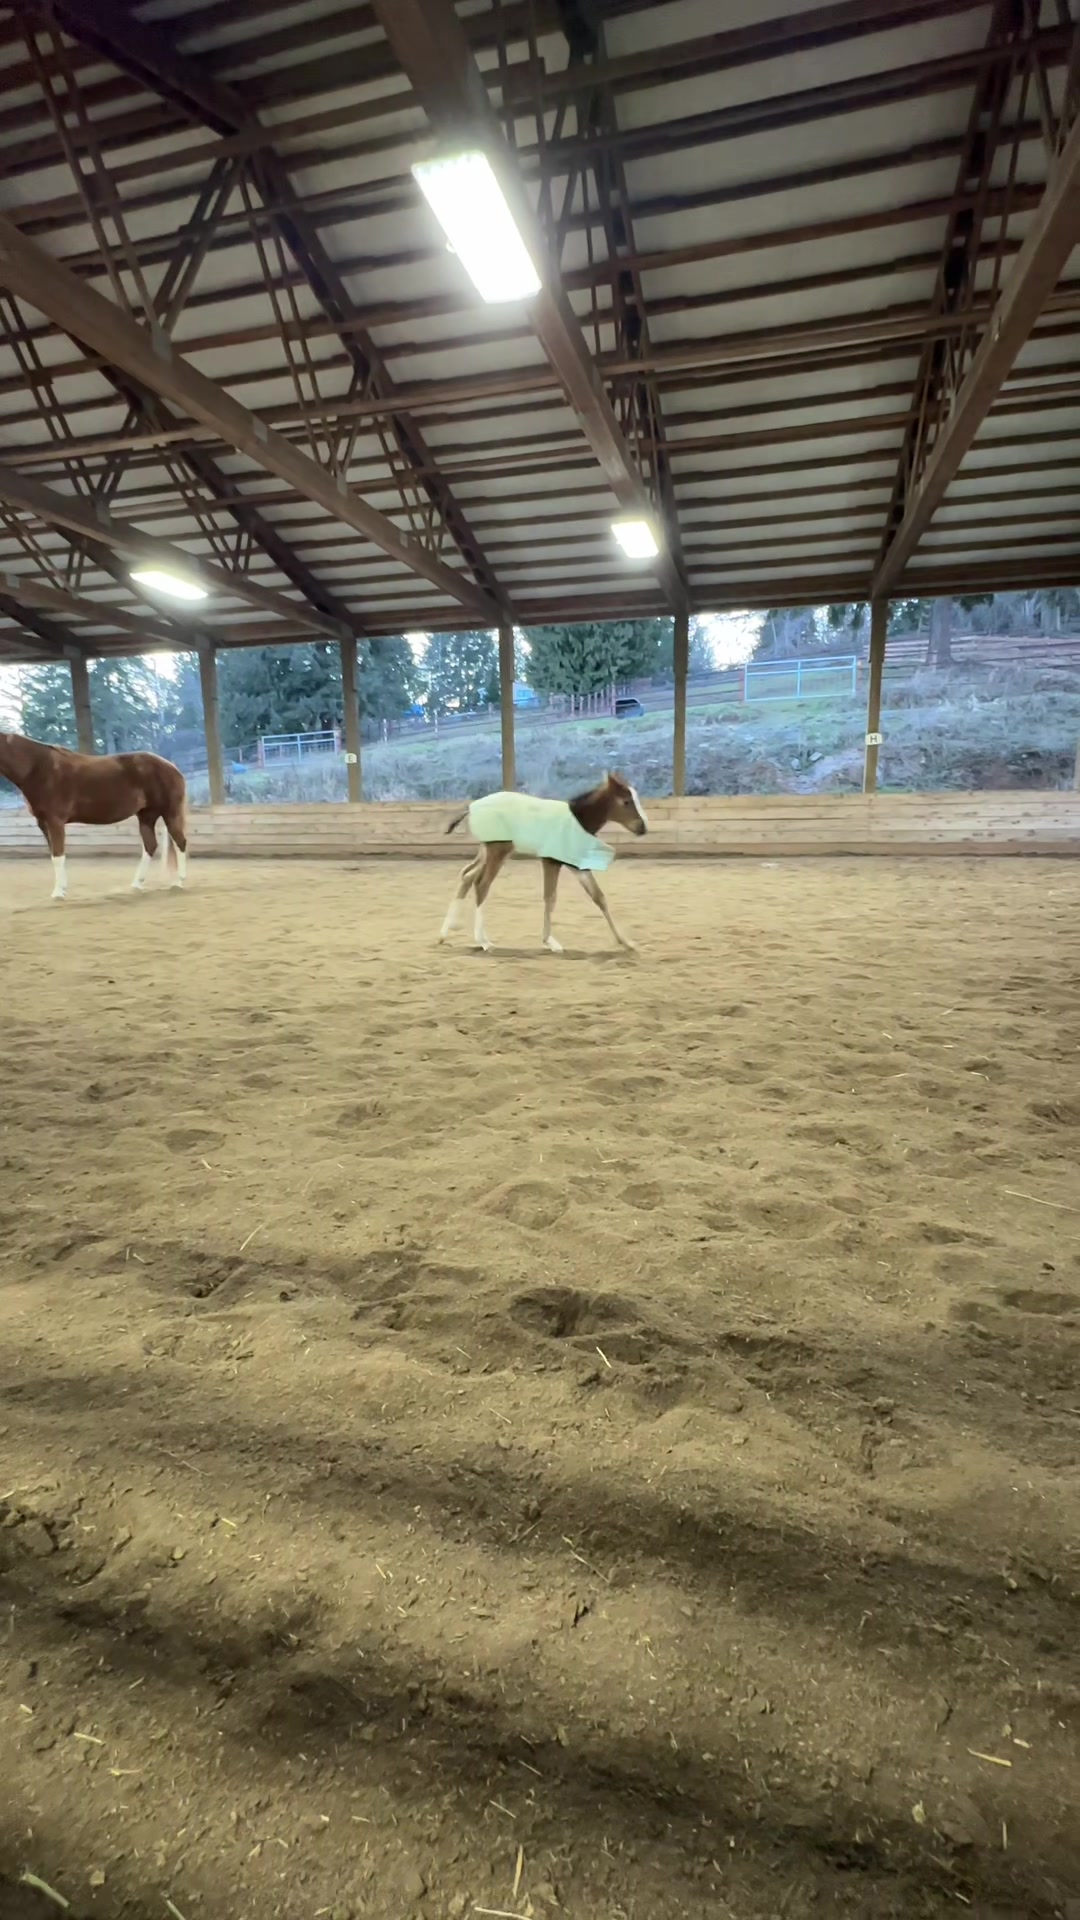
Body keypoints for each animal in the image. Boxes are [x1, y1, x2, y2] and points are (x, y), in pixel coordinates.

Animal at [0, 731, 188, 901]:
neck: (37, 768)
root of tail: (172, 767)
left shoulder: (55, 821)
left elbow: (58, 855)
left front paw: (58, 893)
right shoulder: (43, 823)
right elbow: (54, 855)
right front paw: (62, 888)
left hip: (170, 813)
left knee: (180, 842)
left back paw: (178, 882)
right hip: (147, 816)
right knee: (150, 846)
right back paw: (137, 885)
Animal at [440, 771, 647, 953]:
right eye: (626, 801)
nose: (643, 828)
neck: (577, 820)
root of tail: (472, 806)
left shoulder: (577, 866)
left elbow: (598, 897)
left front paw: (626, 942)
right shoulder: (551, 861)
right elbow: (550, 897)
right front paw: (550, 942)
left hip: (487, 850)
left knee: (467, 874)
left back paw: (445, 933)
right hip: (497, 851)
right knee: (481, 884)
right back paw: (483, 941)